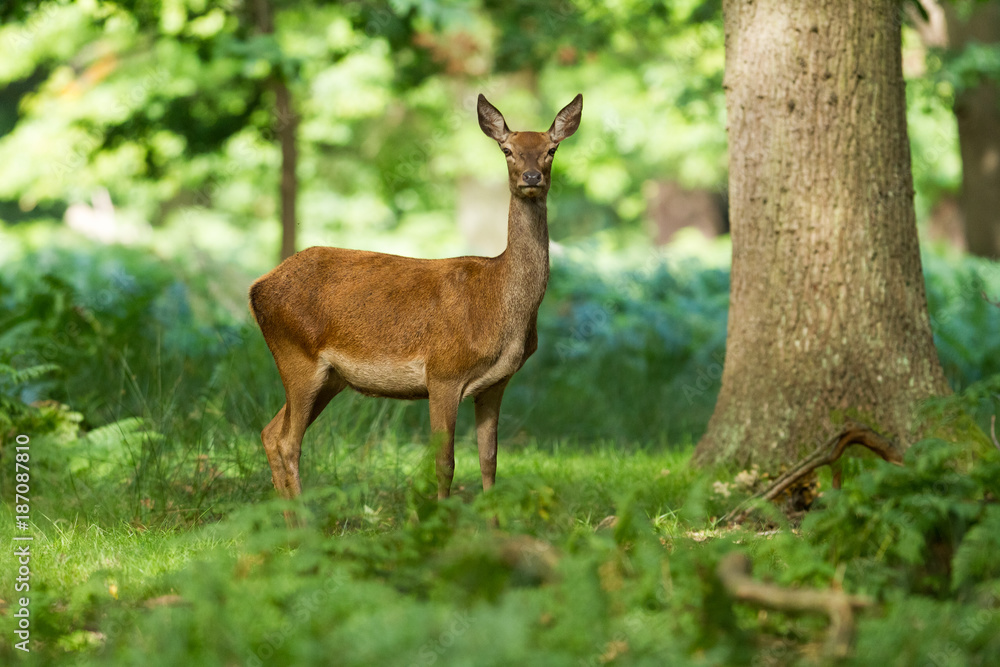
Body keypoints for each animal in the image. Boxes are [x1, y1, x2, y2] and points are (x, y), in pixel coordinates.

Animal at [248, 94, 582, 517]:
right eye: (507, 150)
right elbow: (445, 462)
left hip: (329, 377)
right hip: (296, 355)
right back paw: (302, 525)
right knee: (287, 441)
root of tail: (256, 288)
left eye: (551, 150)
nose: (531, 178)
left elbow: (489, 461)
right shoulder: (443, 372)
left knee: (269, 432)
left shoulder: (496, 383)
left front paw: (495, 528)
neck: (499, 304)